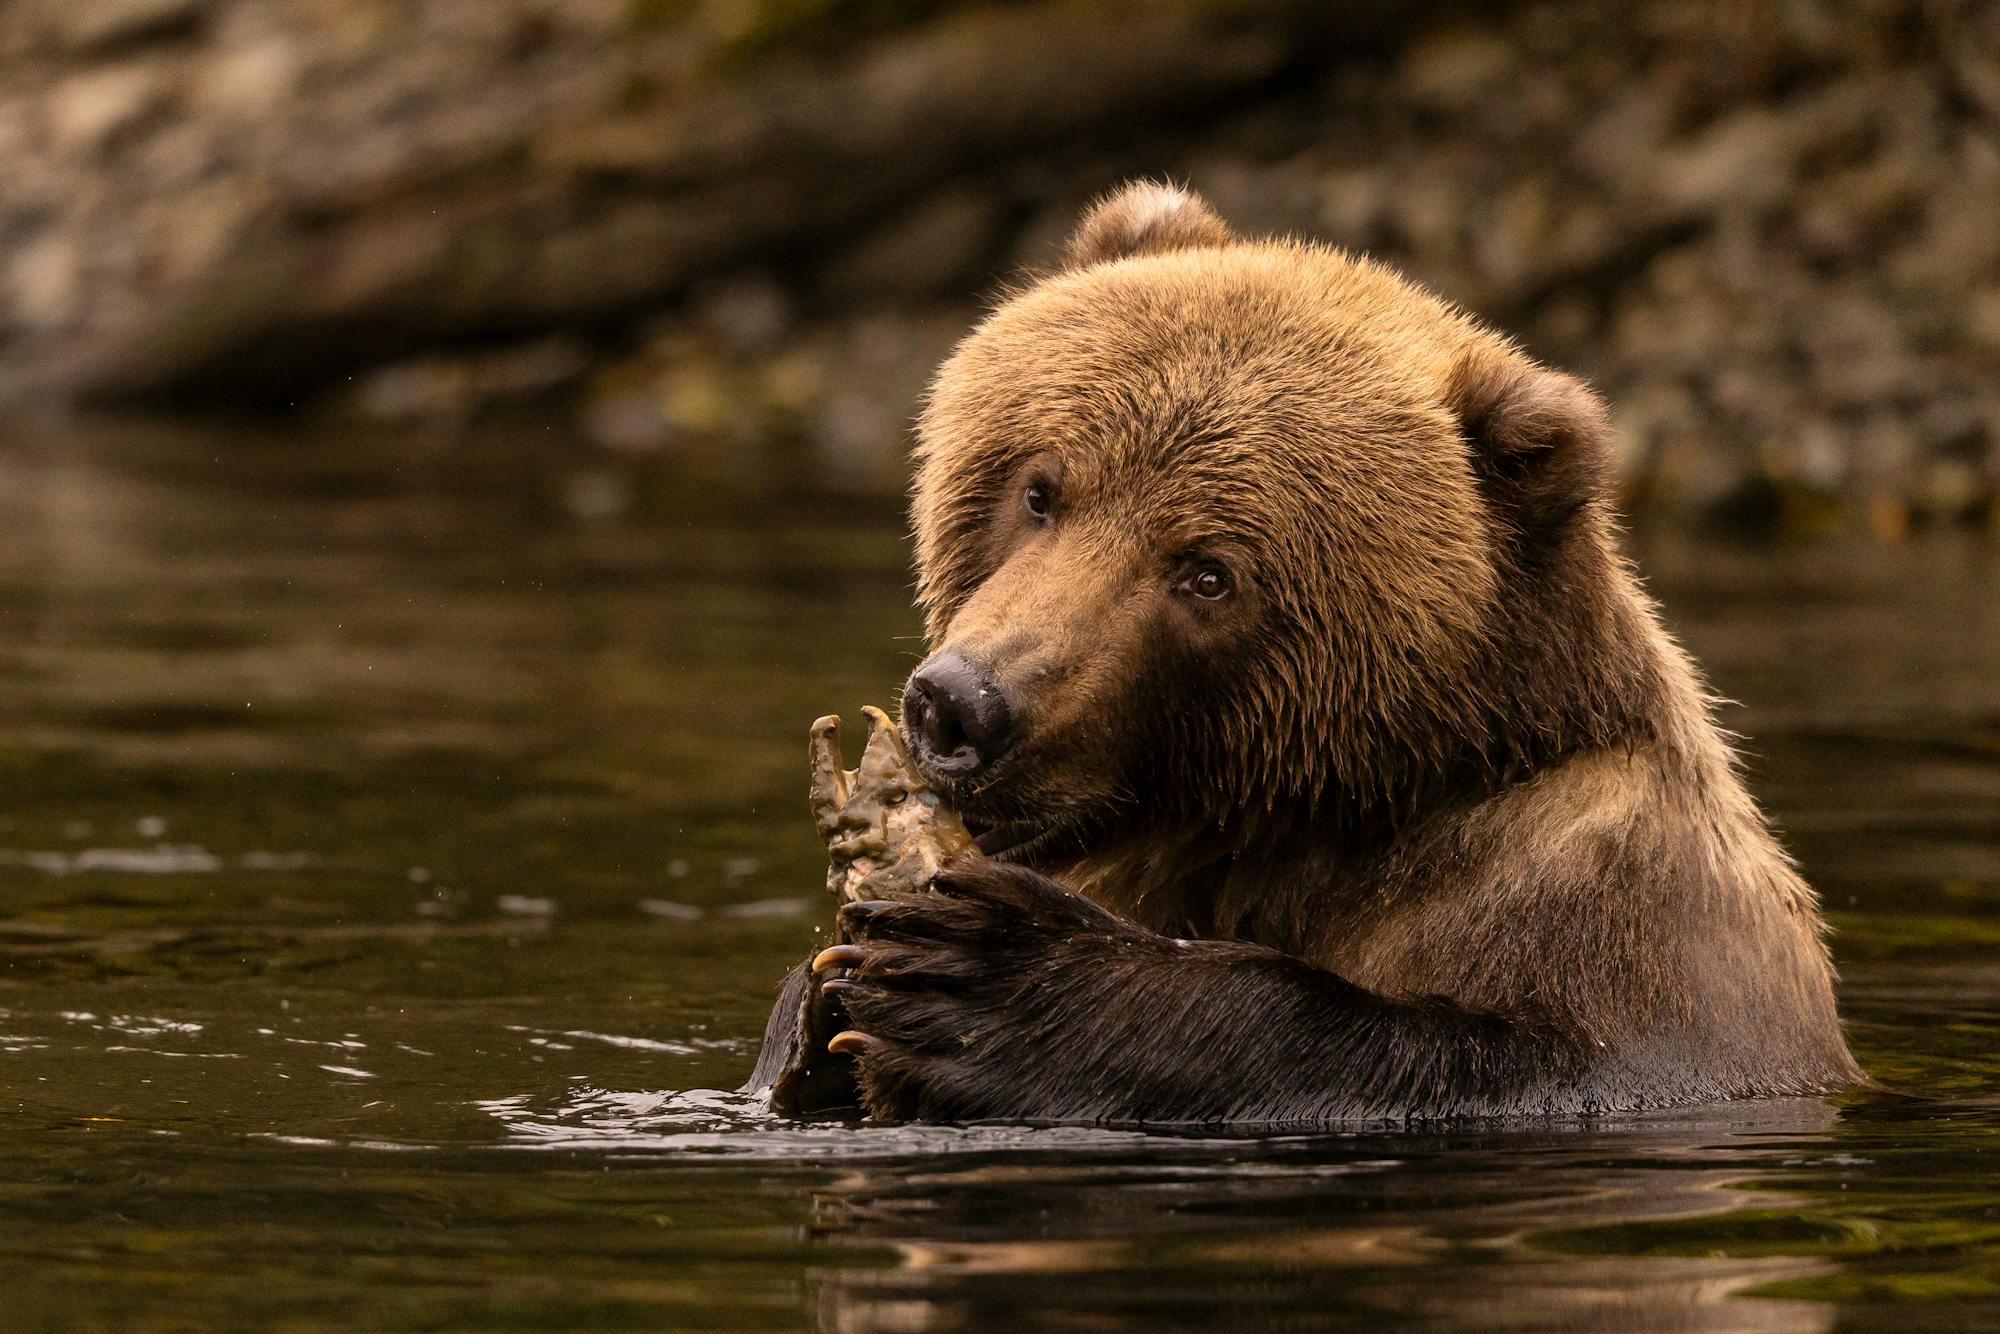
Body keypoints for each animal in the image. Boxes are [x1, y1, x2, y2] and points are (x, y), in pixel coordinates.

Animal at [748, 180, 1856, 1128]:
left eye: (1207, 572)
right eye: (1040, 488)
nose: (961, 703)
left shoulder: (1618, 926)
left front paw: (982, 973)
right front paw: (839, 964)